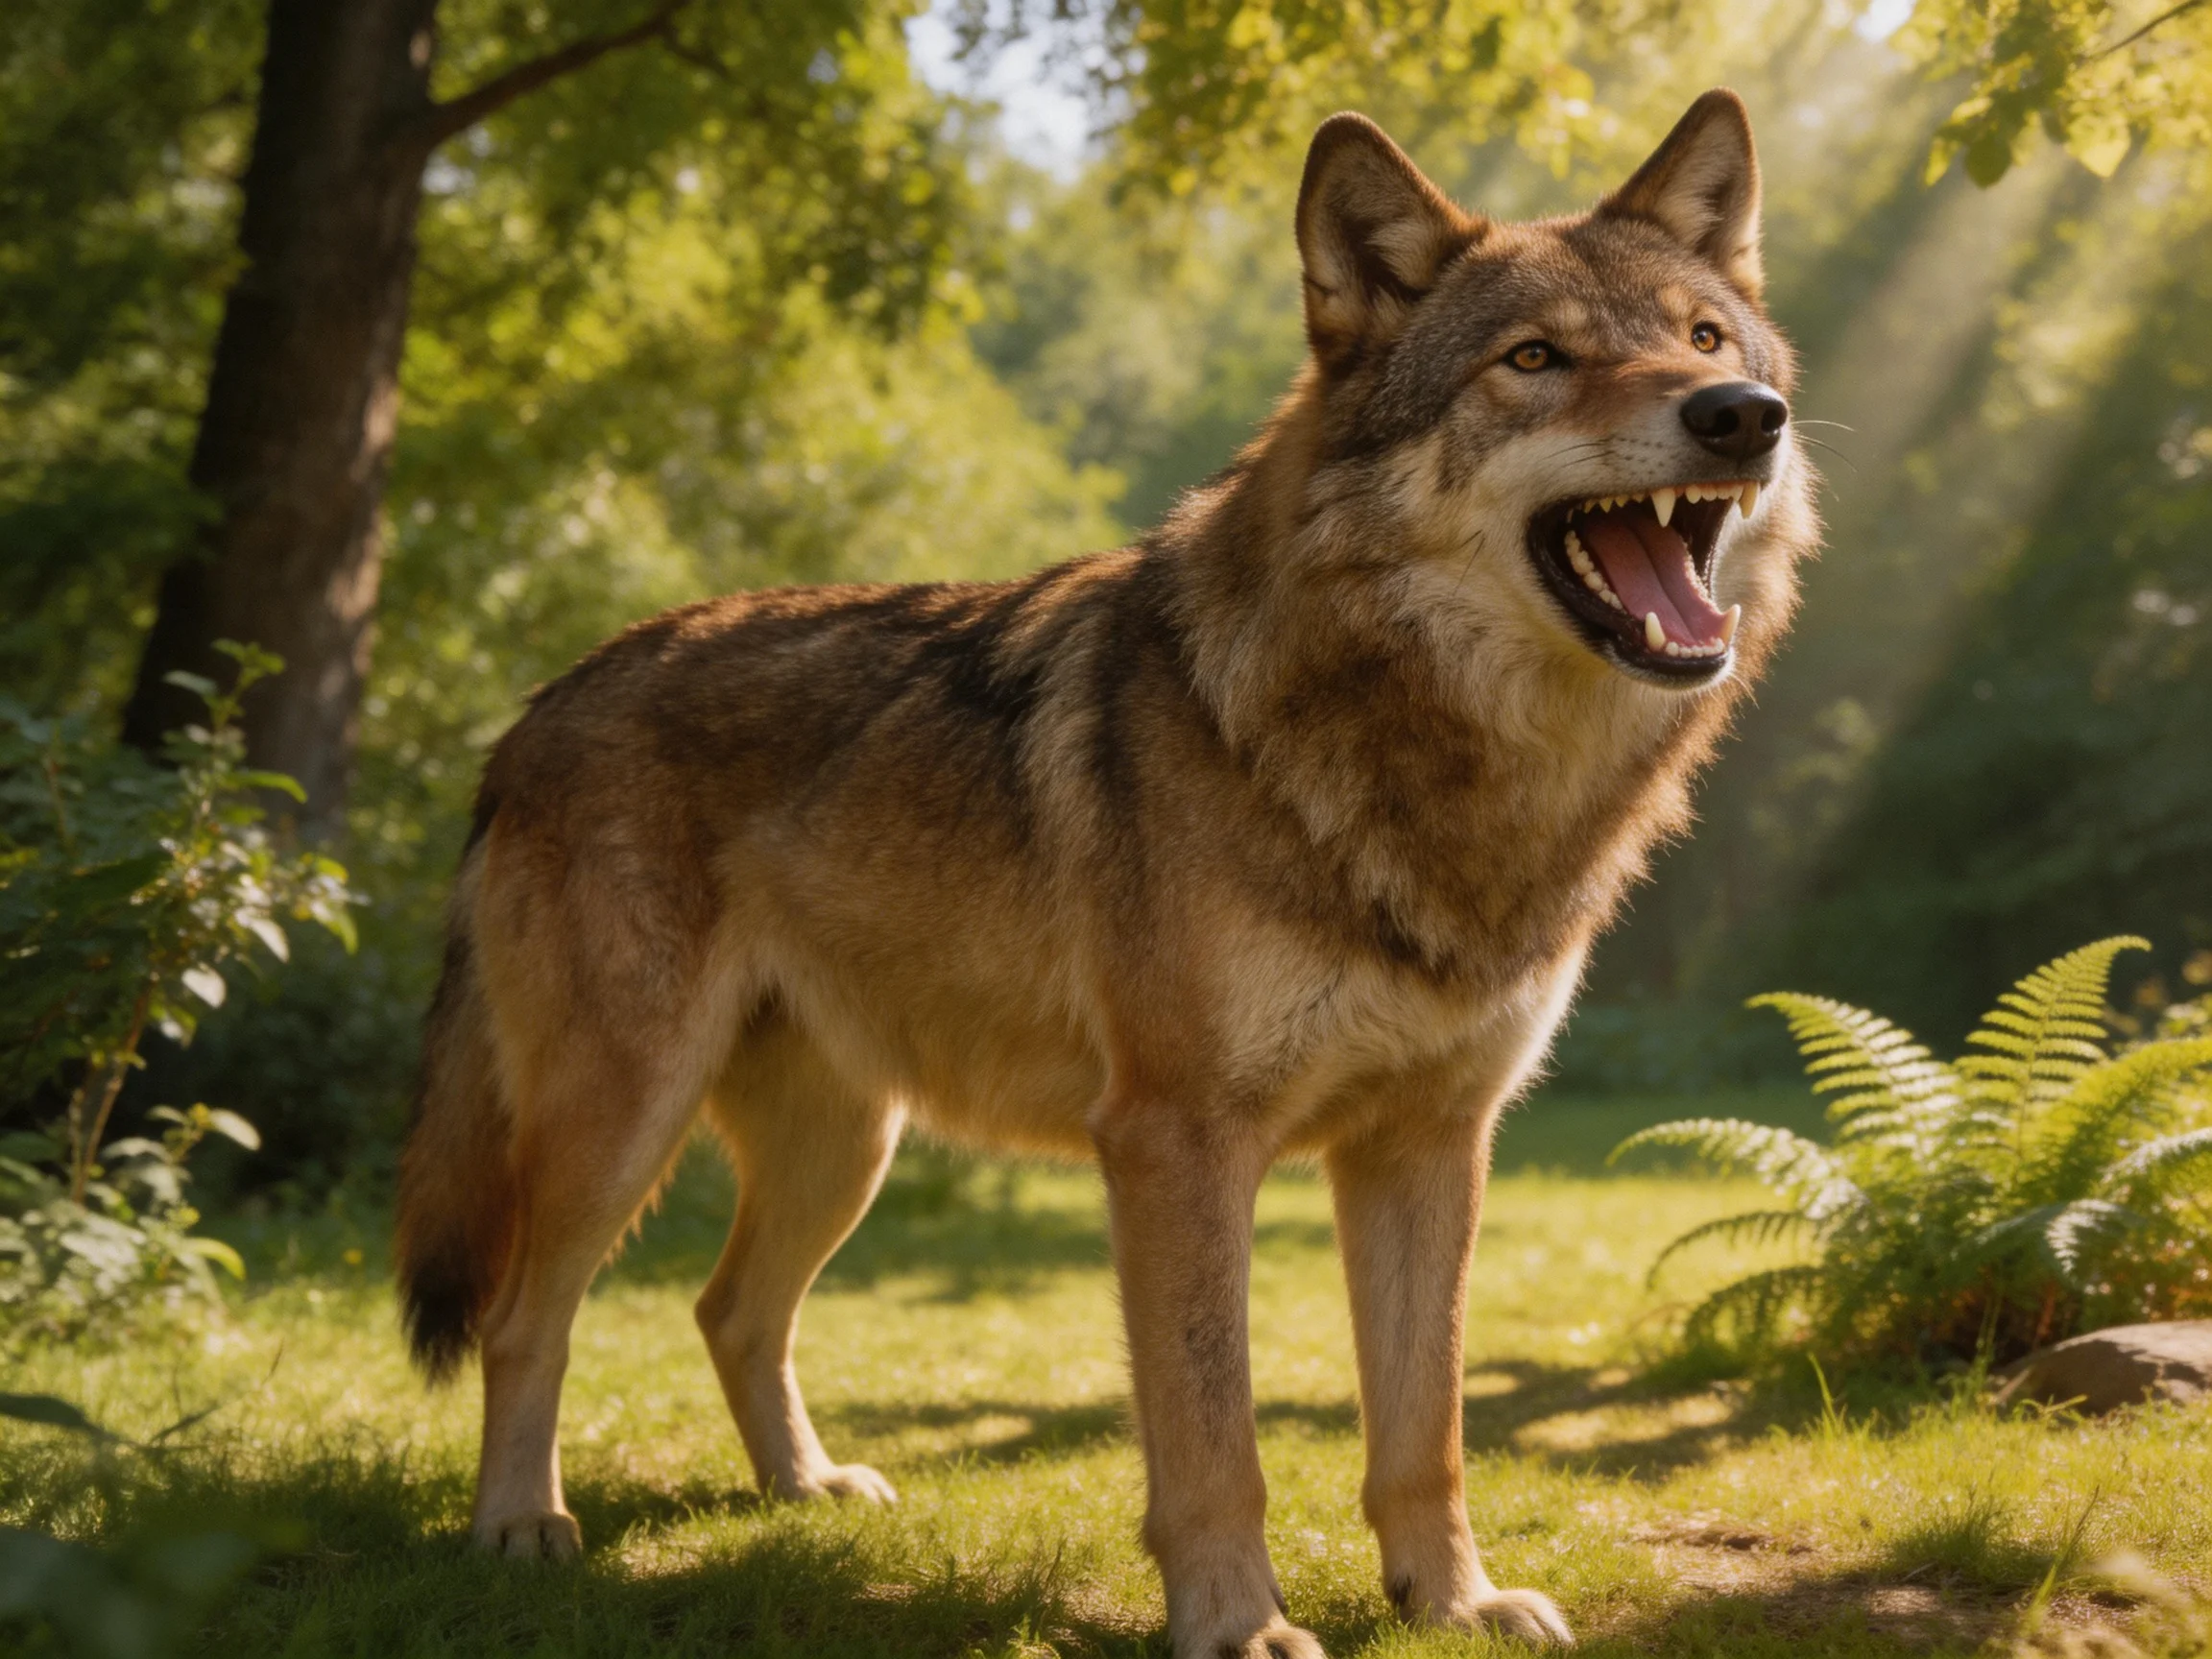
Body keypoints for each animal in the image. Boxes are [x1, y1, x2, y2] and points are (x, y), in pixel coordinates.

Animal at [394, 88, 1815, 1656]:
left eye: (1703, 338)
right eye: (1535, 360)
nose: (1742, 416)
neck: (1431, 769)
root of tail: (533, 710)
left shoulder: (1433, 1145)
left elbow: (1424, 1431)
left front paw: (1451, 1602)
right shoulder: (1174, 1143)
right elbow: (1214, 1437)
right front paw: (1240, 1626)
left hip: (847, 1148)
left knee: (728, 1311)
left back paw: (805, 1492)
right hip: (623, 1125)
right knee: (526, 1318)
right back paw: (521, 1526)